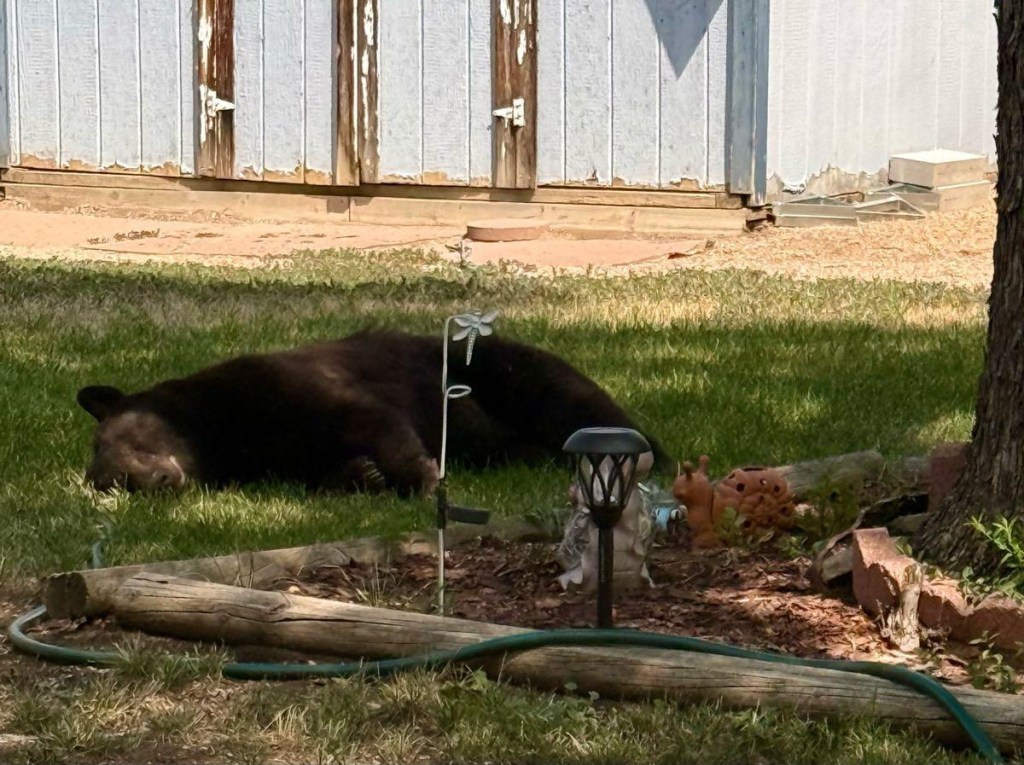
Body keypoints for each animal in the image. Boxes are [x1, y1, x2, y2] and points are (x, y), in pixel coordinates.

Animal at [76, 329, 672, 496]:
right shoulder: (274, 455)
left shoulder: (280, 387)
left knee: (565, 399)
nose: (157, 480)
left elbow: (371, 417)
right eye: (116, 482)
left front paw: (421, 475)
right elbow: (327, 466)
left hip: (492, 370)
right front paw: (363, 474)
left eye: (132, 441)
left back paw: (642, 454)